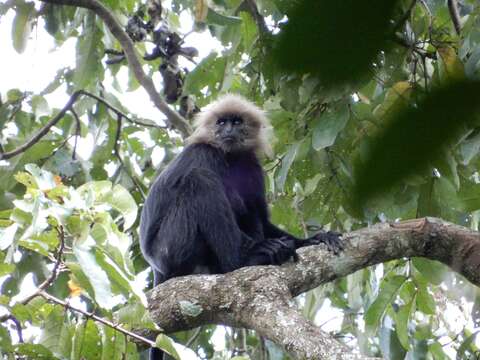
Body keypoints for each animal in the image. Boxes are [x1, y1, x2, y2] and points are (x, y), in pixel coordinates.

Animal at [139, 94, 342, 358]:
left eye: (236, 122)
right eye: (221, 122)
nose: (228, 130)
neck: (231, 157)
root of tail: (157, 268)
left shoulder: (252, 165)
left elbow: (261, 217)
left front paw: (313, 239)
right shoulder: (206, 152)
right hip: (172, 246)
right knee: (201, 180)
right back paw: (242, 259)